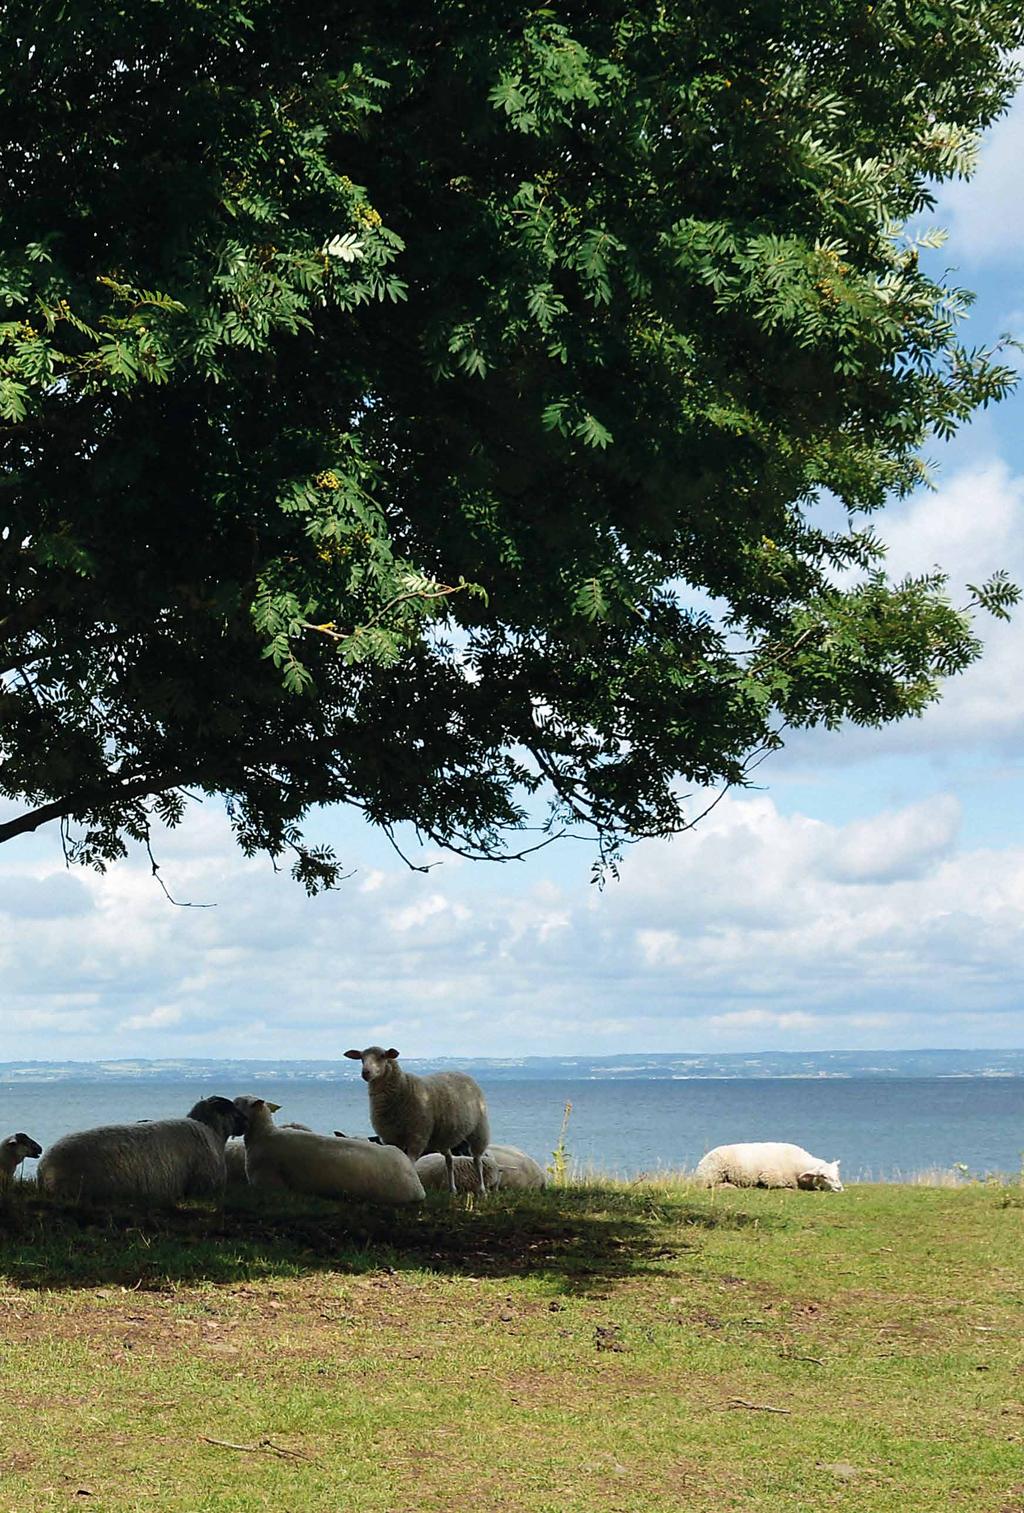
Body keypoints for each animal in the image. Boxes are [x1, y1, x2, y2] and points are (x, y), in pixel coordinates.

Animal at [341, 1040, 490, 1192]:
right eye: (361, 1058)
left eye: (382, 1056)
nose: (365, 1072)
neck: (403, 1087)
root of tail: (462, 1073)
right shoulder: (391, 1138)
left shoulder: (417, 1137)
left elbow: (410, 1164)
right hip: (444, 1137)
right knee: (449, 1160)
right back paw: (452, 1189)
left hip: (479, 1129)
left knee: (477, 1159)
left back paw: (481, 1189)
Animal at [695, 1143, 847, 1192]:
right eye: (823, 1176)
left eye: (837, 1173)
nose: (839, 1188)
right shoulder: (769, 1176)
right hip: (712, 1174)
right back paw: (729, 1186)